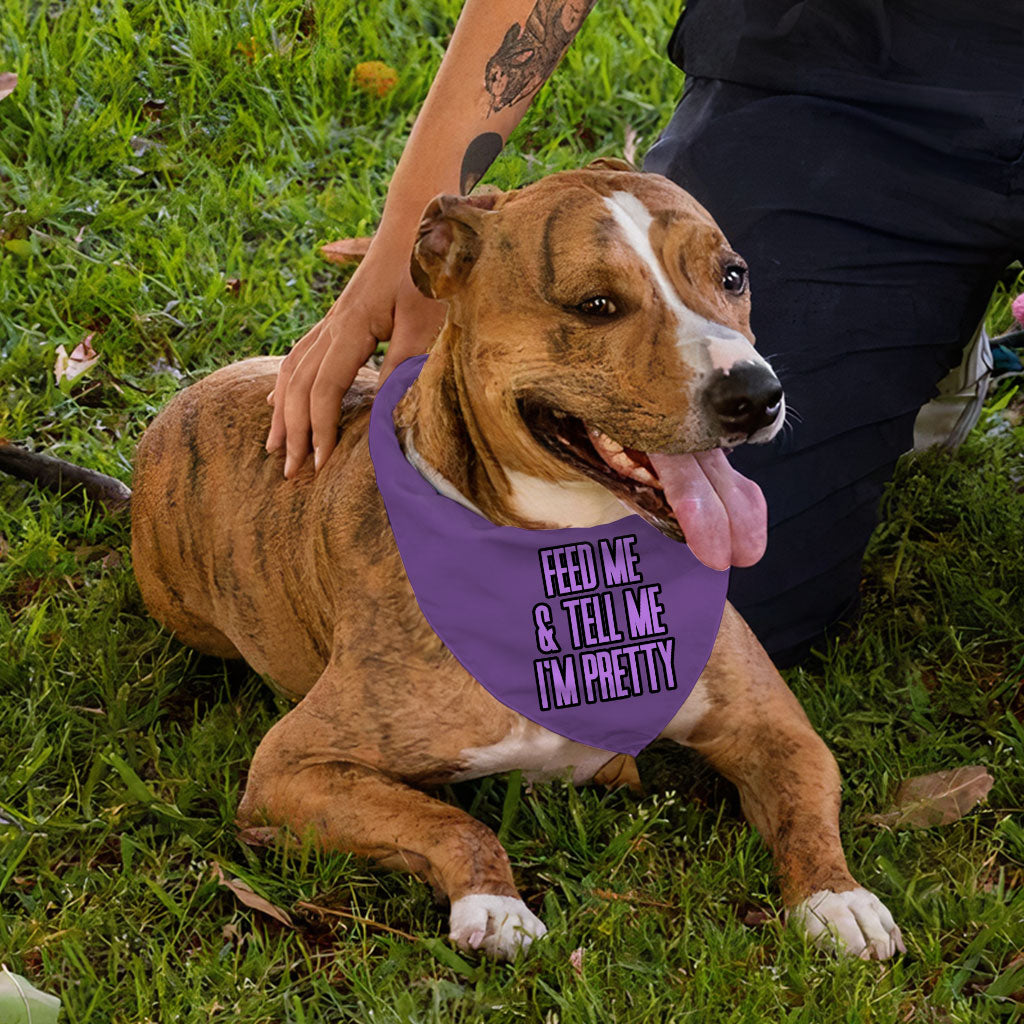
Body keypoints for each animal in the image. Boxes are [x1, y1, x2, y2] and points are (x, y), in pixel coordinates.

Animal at [121, 159, 905, 958]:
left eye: (733, 275)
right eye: (596, 305)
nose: (755, 393)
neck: (576, 559)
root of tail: (184, 399)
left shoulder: (774, 728)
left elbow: (806, 807)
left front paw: (837, 897)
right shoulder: (293, 766)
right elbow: (450, 821)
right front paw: (493, 904)